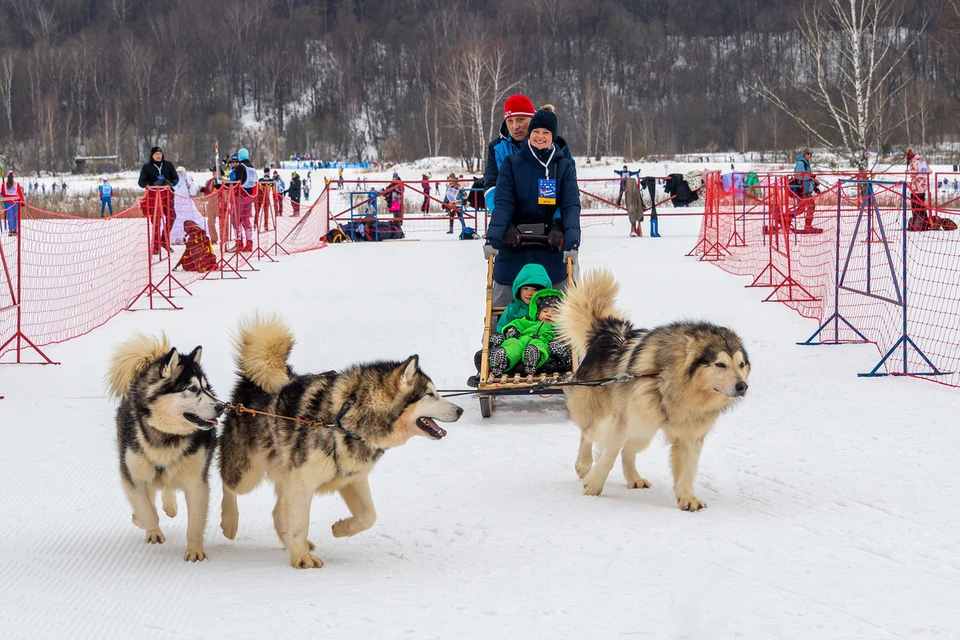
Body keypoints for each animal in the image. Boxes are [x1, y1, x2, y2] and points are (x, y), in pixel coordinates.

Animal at [108, 332, 224, 564]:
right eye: (192, 388)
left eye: (207, 388)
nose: (221, 407)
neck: (166, 437)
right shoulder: (132, 476)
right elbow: (148, 512)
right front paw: (143, 522)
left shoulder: (197, 482)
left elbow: (195, 523)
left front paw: (195, 551)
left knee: (167, 486)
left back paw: (170, 506)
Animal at [219, 312, 464, 568]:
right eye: (430, 394)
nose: (460, 410)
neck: (345, 419)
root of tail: (251, 381)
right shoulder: (303, 481)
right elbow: (300, 524)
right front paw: (302, 559)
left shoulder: (352, 478)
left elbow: (369, 516)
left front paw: (340, 528)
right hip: (247, 473)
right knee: (228, 484)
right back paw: (230, 522)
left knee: (278, 512)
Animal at [556, 270, 752, 510]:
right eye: (720, 364)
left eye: (741, 364)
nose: (742, 386)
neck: (669, 381)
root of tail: (607, 330)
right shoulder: (622, 422)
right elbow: (608, 456)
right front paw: (593, 487)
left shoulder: (690, 435)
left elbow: (687, 471)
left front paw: (687, 498)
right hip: (612, 417)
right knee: (588, 434)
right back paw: (584, 465)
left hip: (644, 429)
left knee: (628, 451)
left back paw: (634, 478)